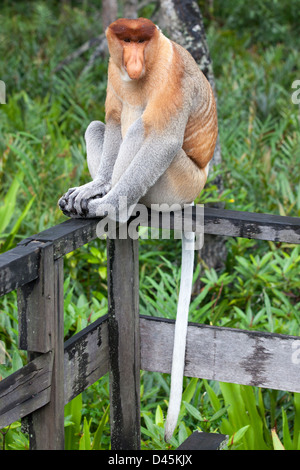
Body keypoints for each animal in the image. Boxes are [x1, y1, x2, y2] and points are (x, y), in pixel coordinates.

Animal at [58, 15, 218, 440]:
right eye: (125, 42)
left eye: (141, 42)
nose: (132, 62)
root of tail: (193, 195)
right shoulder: (114, 73)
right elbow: (113, 119)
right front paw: (93, 191)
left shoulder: (172, 76)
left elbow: (160, 138)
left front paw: (105, 204)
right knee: (101, 125)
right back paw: (95, 190)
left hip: (176, 184)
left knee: (142, 131)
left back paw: (115, 203)